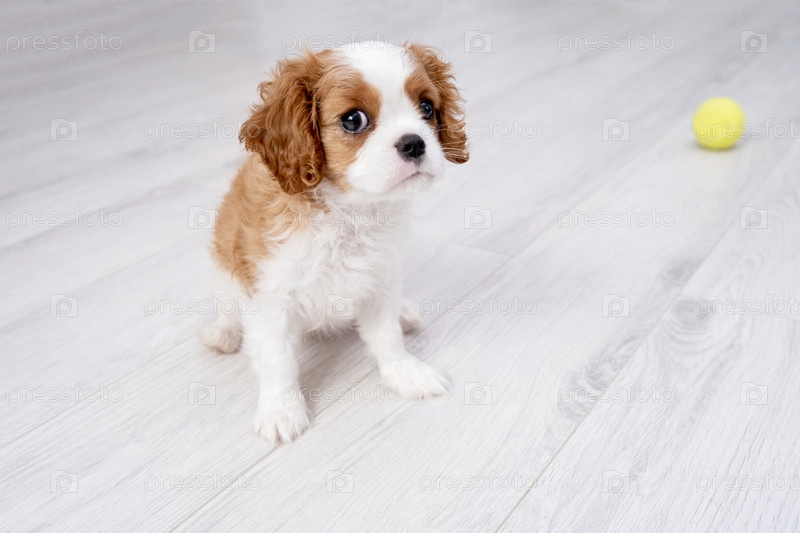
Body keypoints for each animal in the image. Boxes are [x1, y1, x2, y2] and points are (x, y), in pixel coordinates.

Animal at [200, 42, 469, 443]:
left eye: (426, 108)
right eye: (353, 120)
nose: (415, 143)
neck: (348, 214)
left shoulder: (380, 280)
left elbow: (387, 337)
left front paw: (406, 373)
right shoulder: (270, 298)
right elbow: (277, 360)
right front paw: (281, 411)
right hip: (223, 272)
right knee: (228, 309)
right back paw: (224, 332)